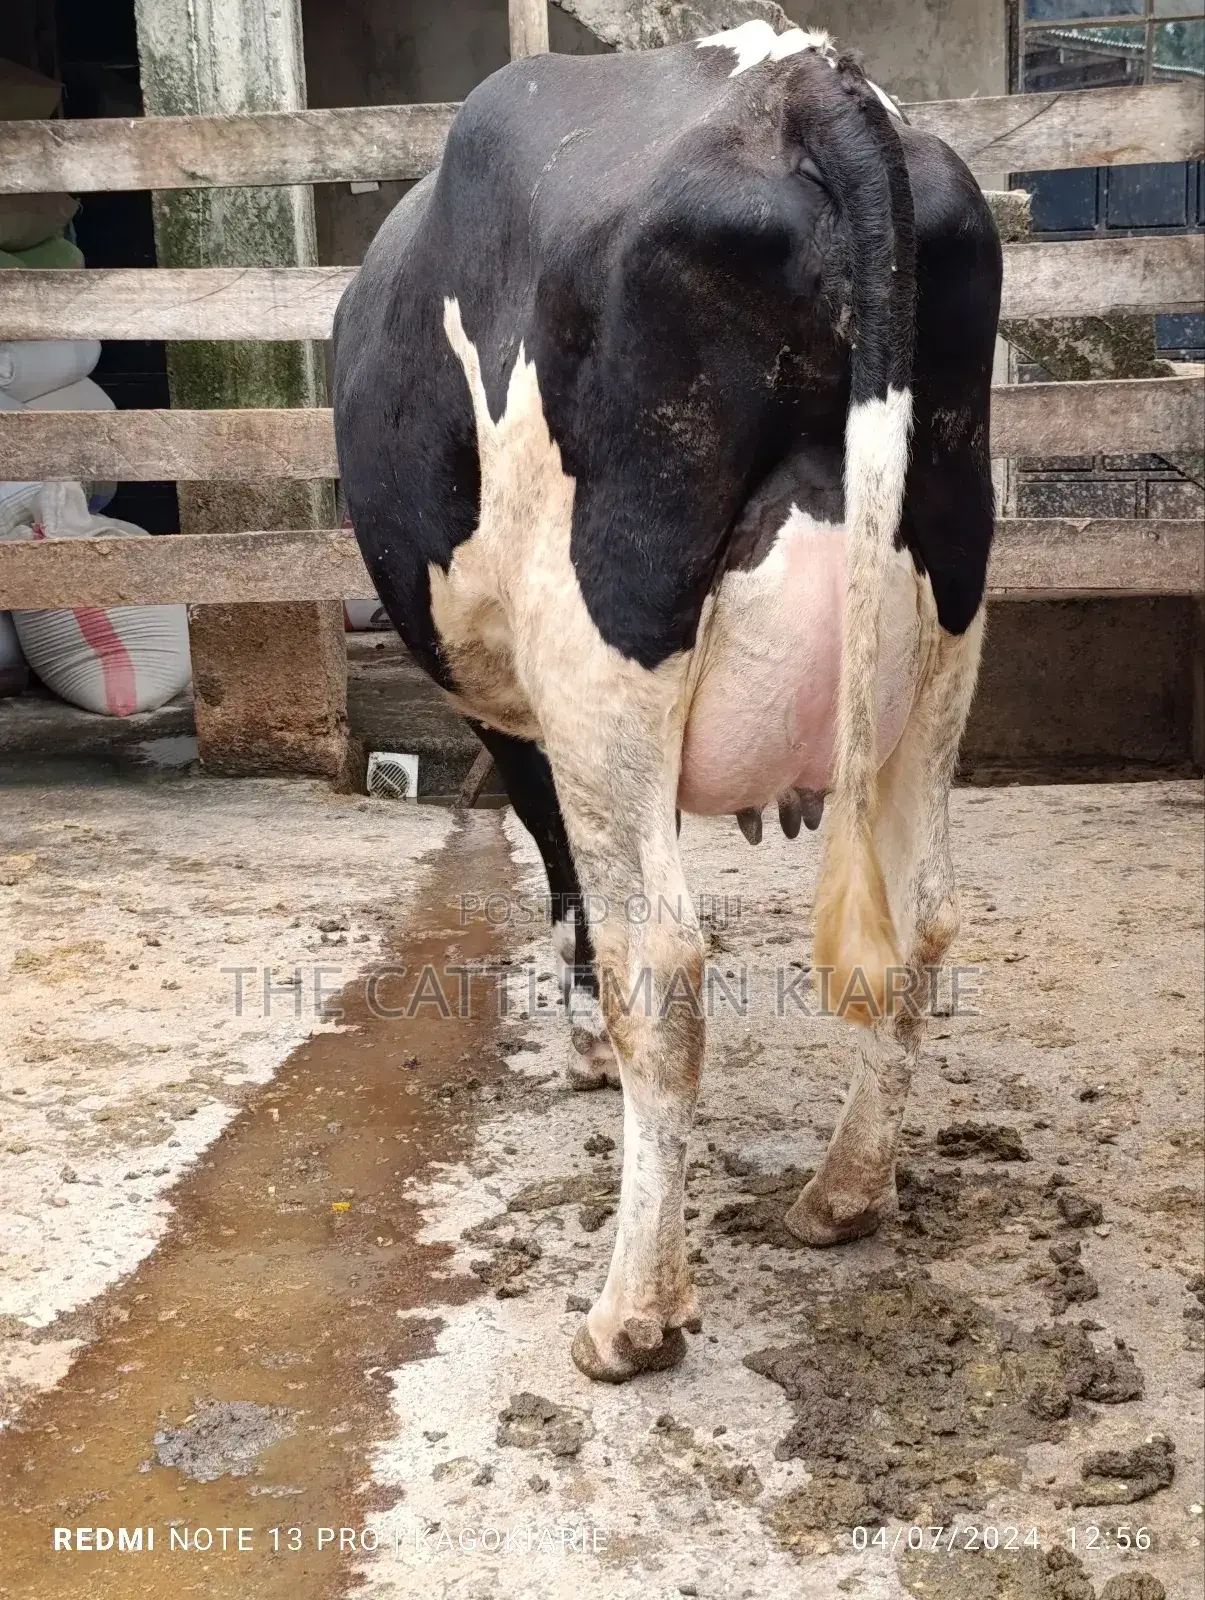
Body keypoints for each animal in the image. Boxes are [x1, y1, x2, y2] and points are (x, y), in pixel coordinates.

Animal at [332, 21, 1002, 1383]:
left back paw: (629, 1315)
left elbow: (559, 873)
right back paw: (843, 1193)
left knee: (665, 958)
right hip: (945, 611)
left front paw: (583, 1043)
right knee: (920, 920)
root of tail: (798, 78)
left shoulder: (512, 706)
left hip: (604, 631)